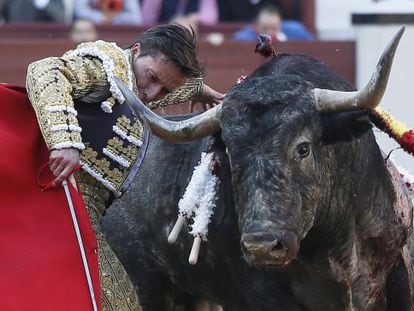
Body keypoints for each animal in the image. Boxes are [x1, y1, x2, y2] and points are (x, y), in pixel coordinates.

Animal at [101, 28, 414, 310]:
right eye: (230, 152)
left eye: (303, 148)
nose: (261, 246)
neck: (334, 248)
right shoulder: (262, 291)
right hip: (150, 288)